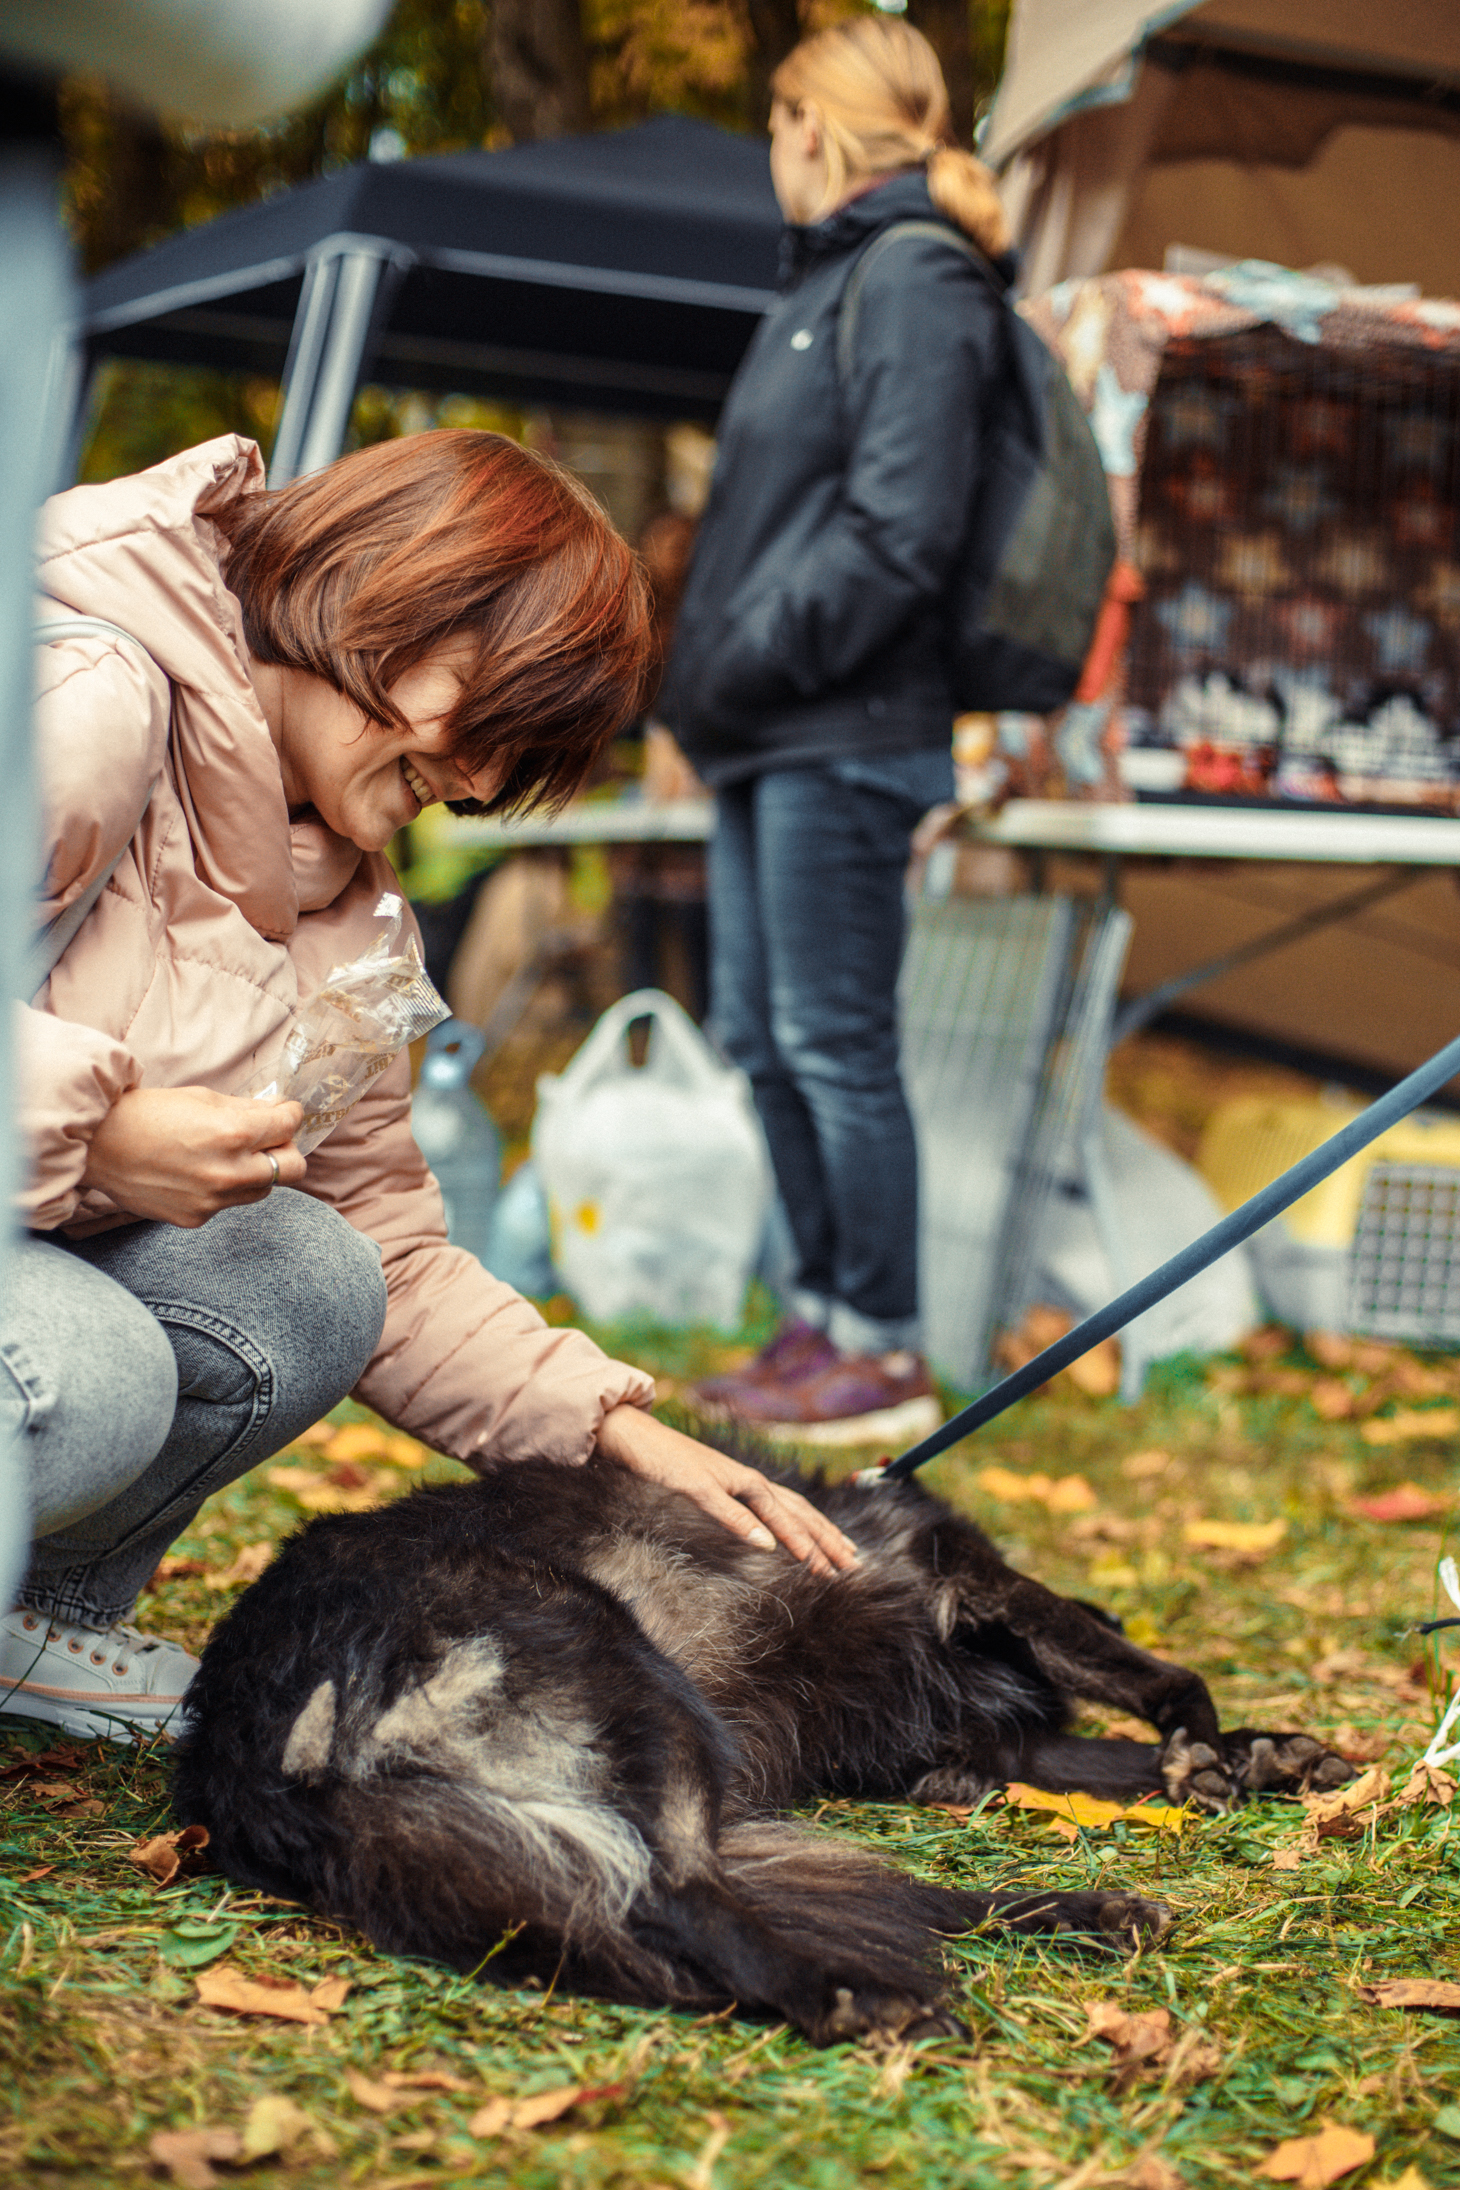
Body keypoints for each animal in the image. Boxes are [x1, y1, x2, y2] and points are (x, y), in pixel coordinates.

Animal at [173, 1438, 1351, 2045]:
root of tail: (254, 1741)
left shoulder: (954, 1735)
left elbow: (1090, 1749)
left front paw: (1261, 1757)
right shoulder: (962, 1584)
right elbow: (1144, 1671)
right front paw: (1210, 1746)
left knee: (862, 1895)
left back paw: (1087, 1914)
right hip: (629, 1673)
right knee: (677, 1895)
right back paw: (853, 1997)